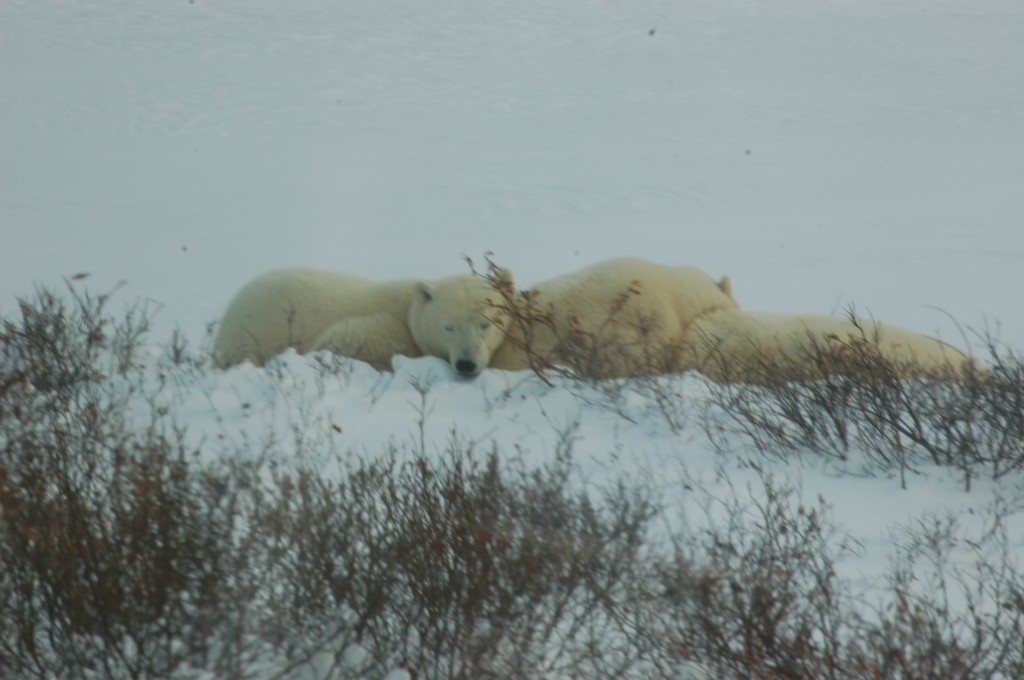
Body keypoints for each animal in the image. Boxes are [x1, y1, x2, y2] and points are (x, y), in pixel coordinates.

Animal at [211, 267, 512, 374]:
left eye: (486, 323)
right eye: (448, 326)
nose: (465, 363)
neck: (408, 306)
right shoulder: (387, 327)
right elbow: (343, 338)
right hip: (255, 331)